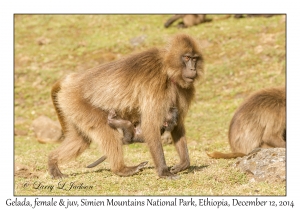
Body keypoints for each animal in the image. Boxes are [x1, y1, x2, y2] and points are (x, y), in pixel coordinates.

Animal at [48, 34, 204, 179]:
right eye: (186, 58)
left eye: (194, 59)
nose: (192, 69)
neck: (167, 70)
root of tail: (71, 81)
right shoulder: (155, 86)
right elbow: (150, 125)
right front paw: (163, 172)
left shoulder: (184, 89)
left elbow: (177, 124)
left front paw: (183, 163)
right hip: (76, 101)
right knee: (105, 130)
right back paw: (121, 169)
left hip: (70, 107)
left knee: (81, 140)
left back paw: (53, 161)